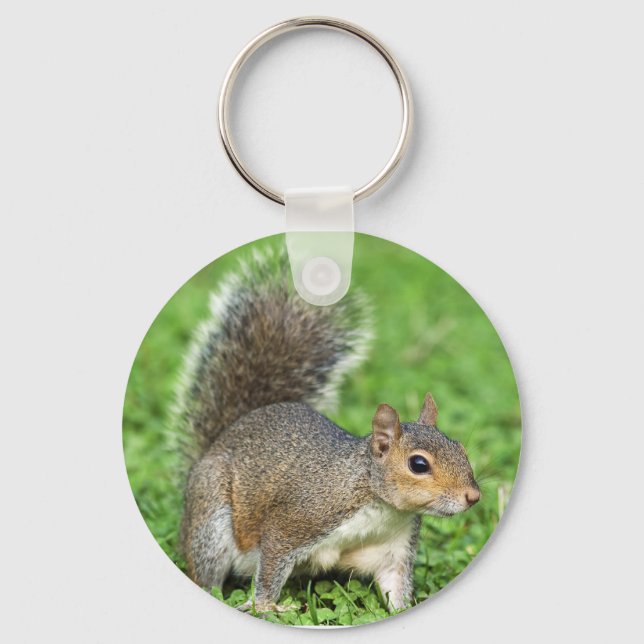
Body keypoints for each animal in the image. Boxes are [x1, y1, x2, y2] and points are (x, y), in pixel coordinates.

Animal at [177, 247, 480, 614]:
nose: (473, 496)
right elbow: (271, 566)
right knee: (205, 572)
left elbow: (395, 585)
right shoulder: (296, 520)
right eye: (418, 464)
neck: (379, 504)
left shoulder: (394, 546)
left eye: (460, 447)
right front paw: (268, 608)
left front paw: (404, 609)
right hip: (212, 521)